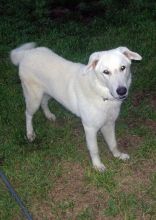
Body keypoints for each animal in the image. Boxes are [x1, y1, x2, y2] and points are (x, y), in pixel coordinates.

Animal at [10, 43, 141, 172]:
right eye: (106, 72)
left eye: (123, 68)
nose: (122, 91)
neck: (101, 93)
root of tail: (27, 53)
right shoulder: (90, 128)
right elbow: (94, 149)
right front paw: (97, 166)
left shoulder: (109, 124)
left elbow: (113, 143)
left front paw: (118, 155)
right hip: (34, 99)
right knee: (28, 114)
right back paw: (30, 133)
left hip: (49, 93)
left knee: (44, 103)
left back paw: (49, 115)